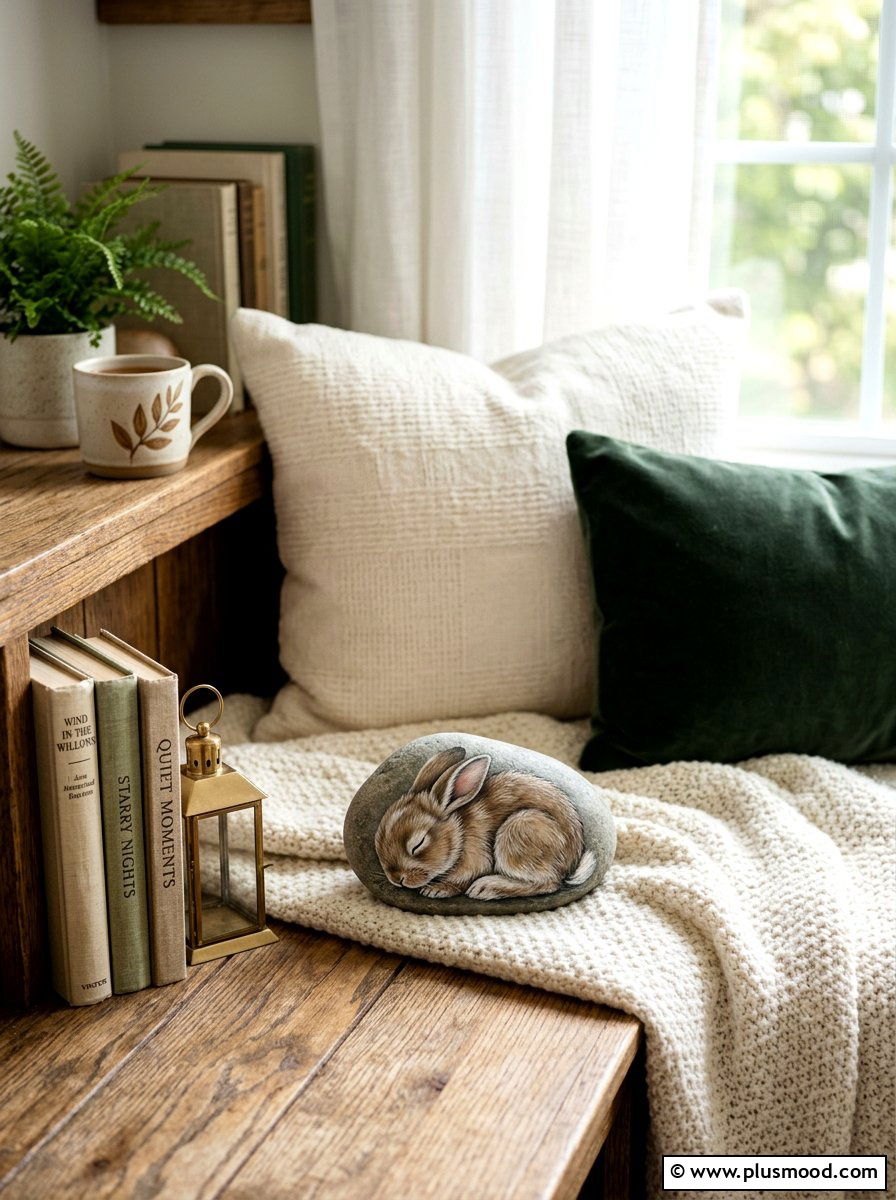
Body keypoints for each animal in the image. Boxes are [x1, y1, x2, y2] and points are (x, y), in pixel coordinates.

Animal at [374, 746, 597, 901]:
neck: (459, 833)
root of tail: (572, 861)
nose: (396, 879)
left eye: (418, 844)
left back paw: (486, 888)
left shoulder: (476, 858)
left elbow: (462, 878)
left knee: (547, 883)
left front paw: (436, 890)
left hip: (519, 829)